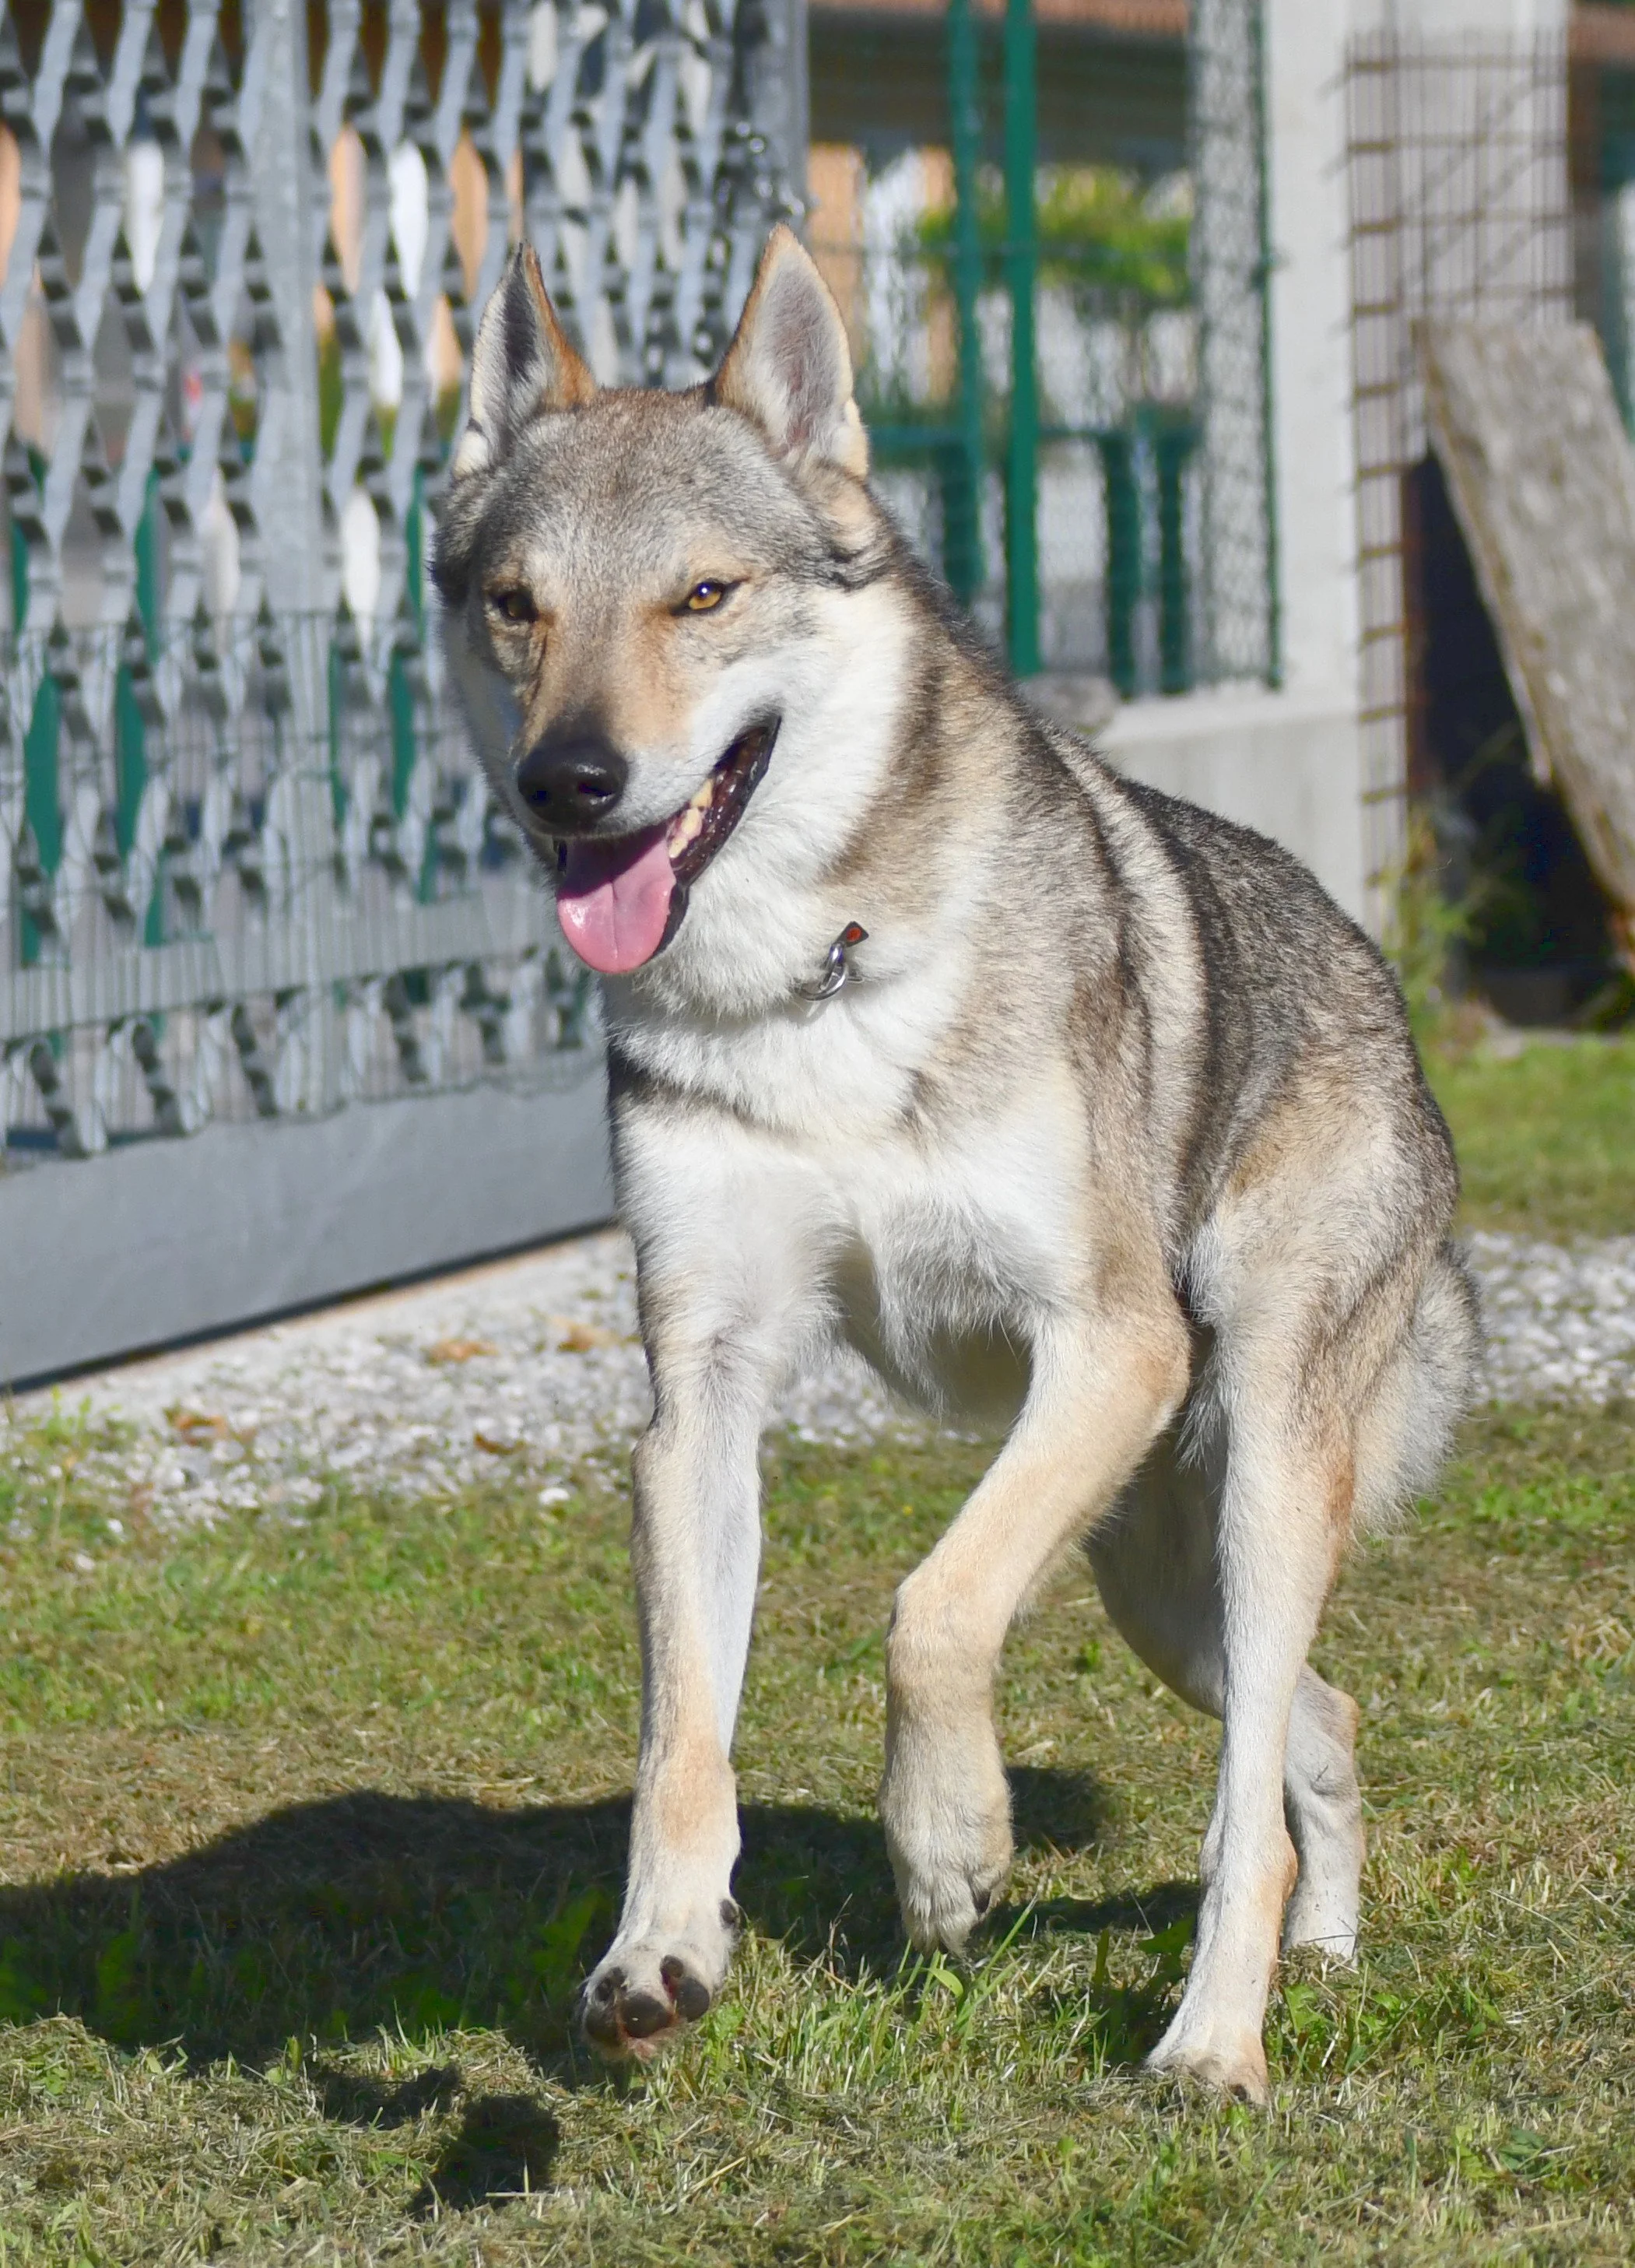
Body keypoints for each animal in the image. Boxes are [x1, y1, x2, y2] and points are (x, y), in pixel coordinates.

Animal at [433, 227, 1481, 2103]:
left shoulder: (1108, 1343)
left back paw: (1216, 2038)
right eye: (518, 604)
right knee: (1319, 1721)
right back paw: (1327, 1952)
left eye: (703, 596)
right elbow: (682, 1729)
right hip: (1159, 1584)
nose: (571, 781)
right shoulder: (698, 1392)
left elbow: (930, 1607)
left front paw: (945, 1845)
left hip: (1250, 1471)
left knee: (1246, 1802)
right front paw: (659, 1951)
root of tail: (1383, 990)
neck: (811, 984)